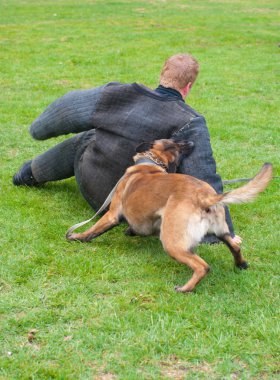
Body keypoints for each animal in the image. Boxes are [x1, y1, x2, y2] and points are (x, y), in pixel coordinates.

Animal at [66, 140, 272, 290]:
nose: (190, 143)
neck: (149, 165)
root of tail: (205, 196)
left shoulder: (112, 213)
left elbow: (93, 229)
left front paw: (77, 236)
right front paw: (131, 231)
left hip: (172, 242)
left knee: (202, 266)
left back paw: (185, 288)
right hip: (221, 231)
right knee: (235, 246)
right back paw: (241, 265)